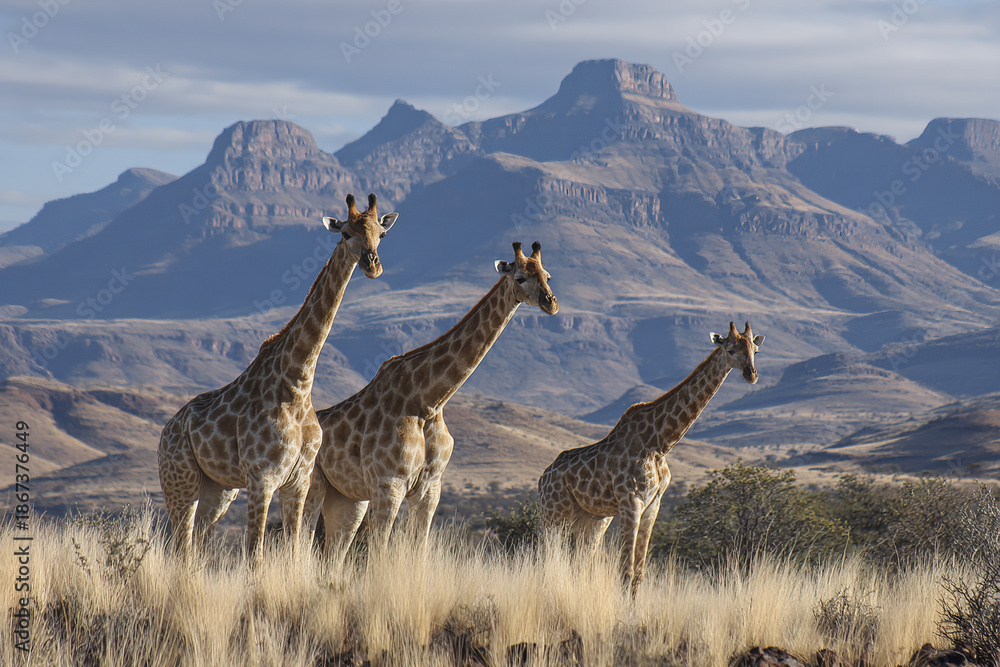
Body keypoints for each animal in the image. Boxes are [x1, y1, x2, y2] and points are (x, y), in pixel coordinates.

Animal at [157, 193, 399, 563]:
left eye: (381, 234)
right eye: (345, 233)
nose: (373, 266)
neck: (298, 382)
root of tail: (166, 431)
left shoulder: (299, 480)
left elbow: (294, 550)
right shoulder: (262, 477)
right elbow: (255, 554)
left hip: (218, 489)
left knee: (196, 544)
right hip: (180, 481)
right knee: (179, 545)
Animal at [305, 241, 558, 564]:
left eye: (547, 276)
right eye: (520, 278)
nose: (551, 303)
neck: (428, 401)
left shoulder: (430, 487)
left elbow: (420, 550)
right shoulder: (389, 485)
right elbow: (379, 553)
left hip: (347, 498)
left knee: (333, 555)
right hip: (312, 485)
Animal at [538, 321, 764, 595]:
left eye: (755, 350)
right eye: (731, 350)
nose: (752, 375)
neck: (659, 444)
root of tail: (543, 478)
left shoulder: (652, 505)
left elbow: (638, 573)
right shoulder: (631, 503)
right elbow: (625, 572)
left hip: (592, 519)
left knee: (580, 562)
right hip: (554, 514)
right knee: (547, 560)